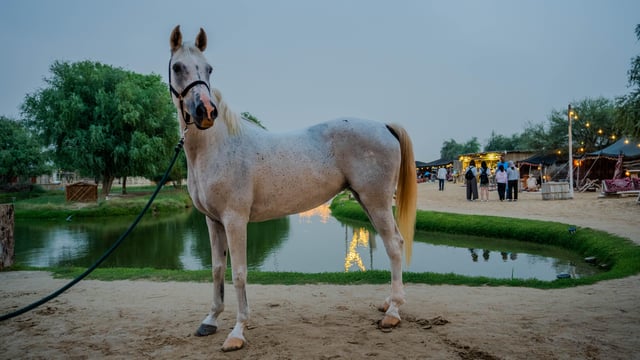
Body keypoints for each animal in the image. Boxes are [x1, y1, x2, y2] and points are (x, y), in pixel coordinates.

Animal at [168, 26, 418, 352]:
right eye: (177, 67)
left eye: (209, 69)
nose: (206, 111)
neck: (219, 147)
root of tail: (384, 127)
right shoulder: (212, 222)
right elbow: (217, 270)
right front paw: (210, 320)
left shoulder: (235, 221)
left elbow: (239, 274)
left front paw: (237, 332)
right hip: (365, 201)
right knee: (392, 246)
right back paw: (388, 302)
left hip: (376, 202)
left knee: (394, 246)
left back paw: (393, 312)